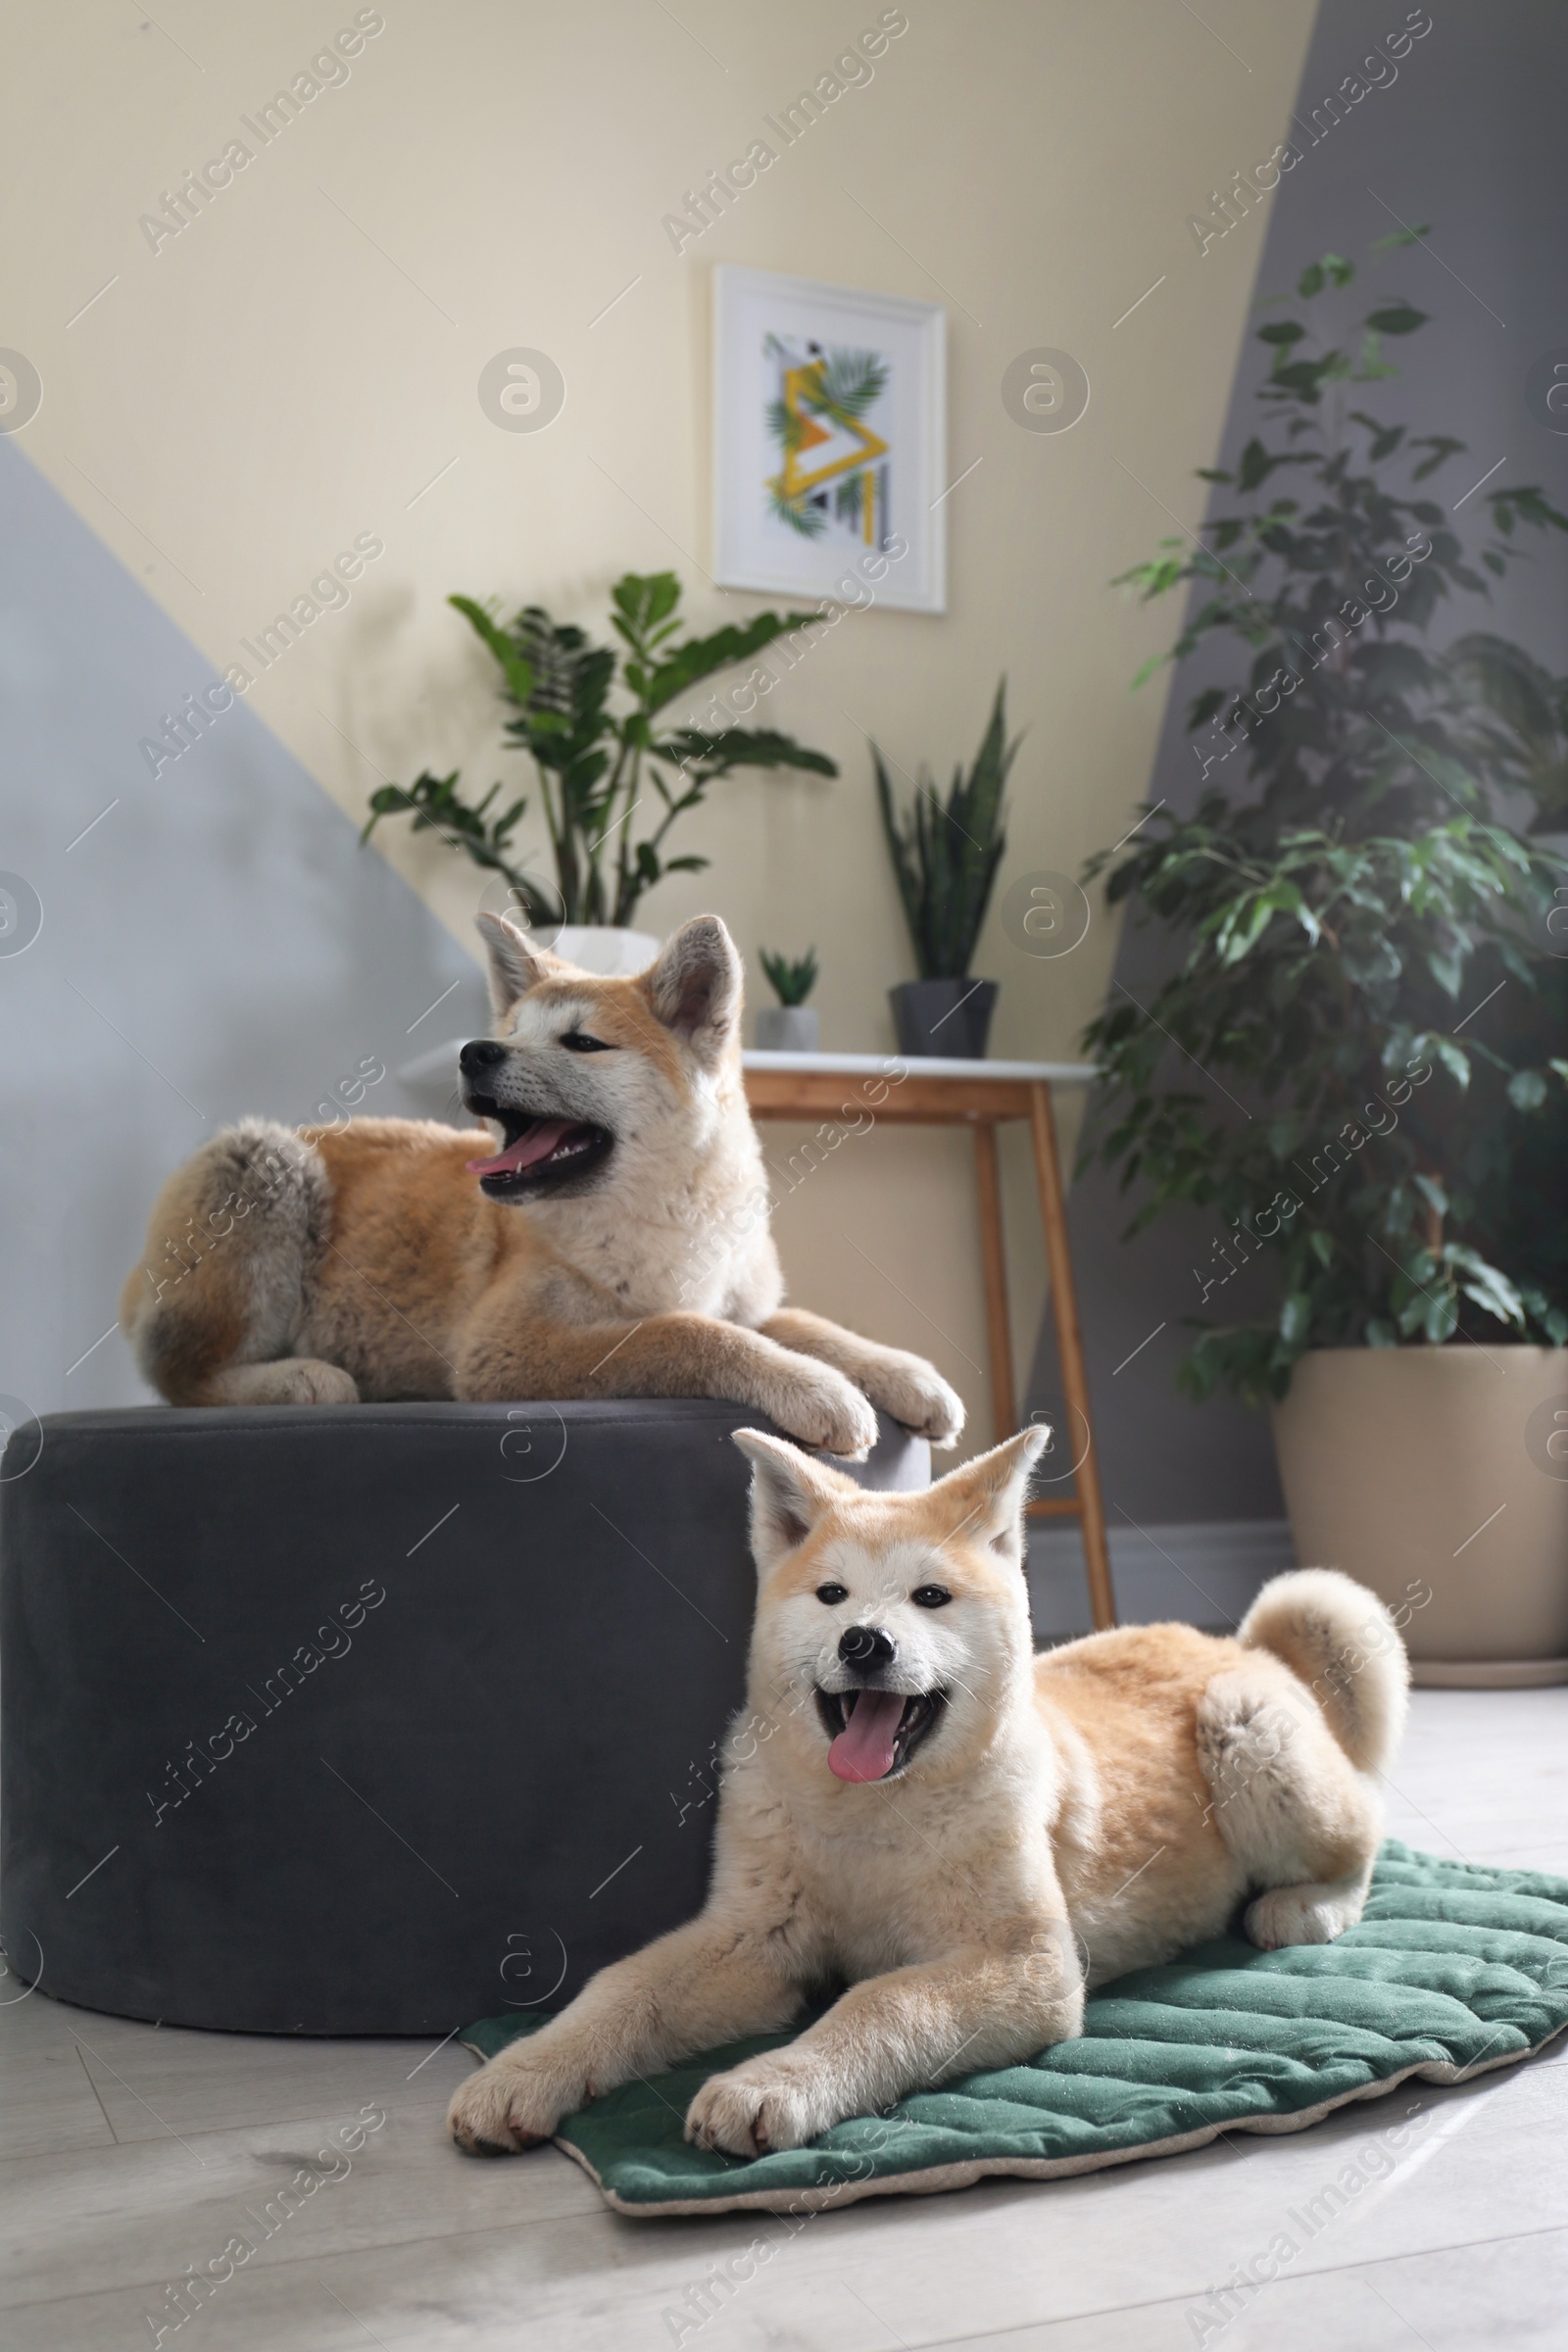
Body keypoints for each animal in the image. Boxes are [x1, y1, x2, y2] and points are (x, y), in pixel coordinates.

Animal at [444, 1420, 1410, 2154]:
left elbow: (881, 2001)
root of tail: (1237, 1643)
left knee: (1370, 1829)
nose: (864, 1643)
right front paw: (524, 2071)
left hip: (1245, 1729)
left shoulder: (1028, 1967)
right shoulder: (751, 1943)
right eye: (833, 1596)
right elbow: (620, 1987)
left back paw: (1307, 1906)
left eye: (931, 1598)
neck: (867, 1821)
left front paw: (771, 2083)